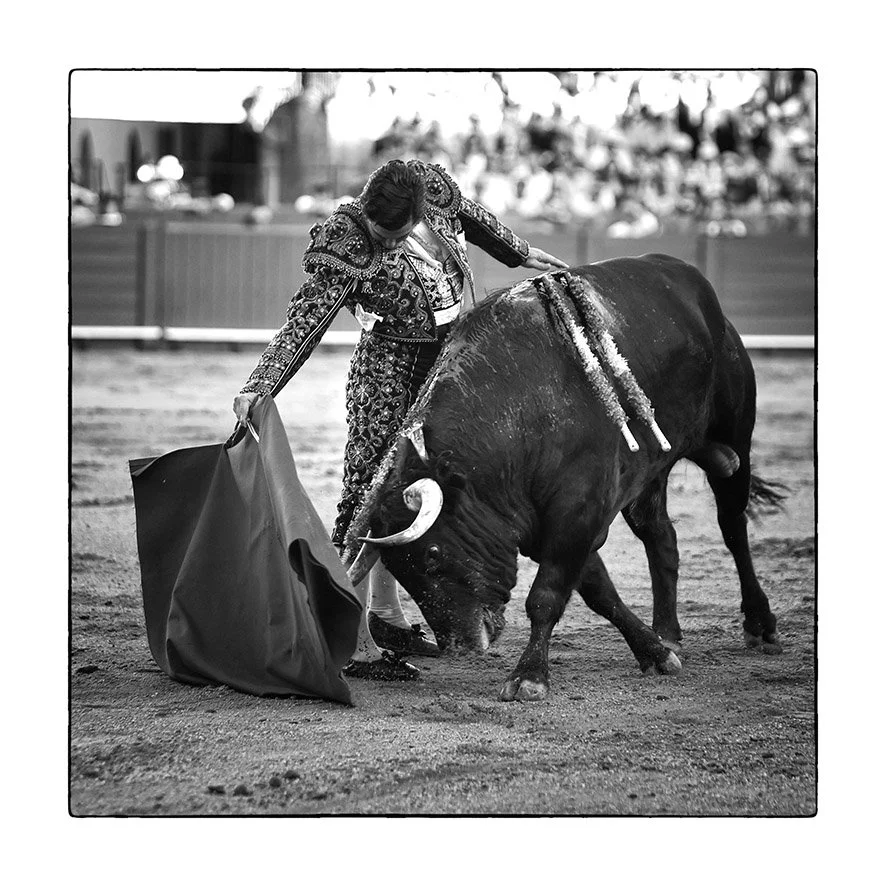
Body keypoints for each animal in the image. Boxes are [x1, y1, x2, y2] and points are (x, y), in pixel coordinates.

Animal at [346, 254, 785, 702]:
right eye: (399, 570)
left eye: (433, 556)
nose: (460, 645)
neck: (516, 412)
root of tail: (694, 285)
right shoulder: (554, 524)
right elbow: (599, 592)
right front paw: (656, 652)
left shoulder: (576, 511)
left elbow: (546, 595)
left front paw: (529, 677)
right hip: (650, 472)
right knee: (661, 536)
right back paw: (668, 632)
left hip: (736, 434)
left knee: (733, 526)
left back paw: (760, 626)